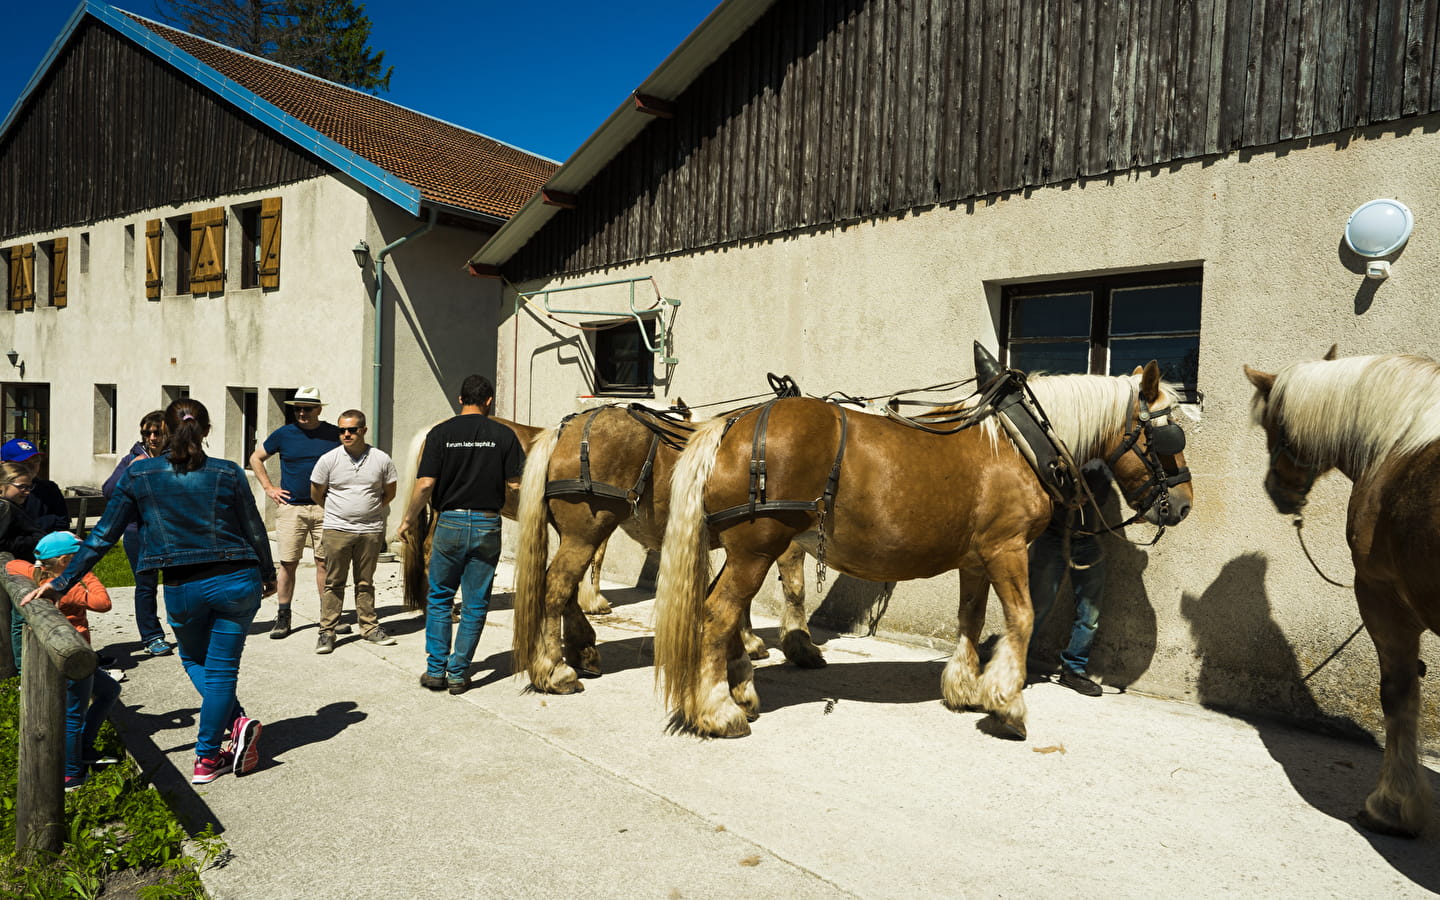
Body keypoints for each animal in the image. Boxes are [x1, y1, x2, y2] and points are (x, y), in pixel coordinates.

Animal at [509, 403, 823, 691]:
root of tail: (564, 430)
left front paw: (748, 642)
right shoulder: (778, 539)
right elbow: (792, 588)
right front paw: (797, 646)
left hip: (579, 536)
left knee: (566, 588)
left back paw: (582, 651)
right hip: (584, 534)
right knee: (556, 588)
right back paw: (555, 670)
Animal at [653, 358, 1192, 737]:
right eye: (1170, 436)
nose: (1183, 504)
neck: (1021, 442)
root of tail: (730, 427)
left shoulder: (977, 559)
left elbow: (972, 616)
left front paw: (965, 687)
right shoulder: (1006, 548)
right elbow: (1022, 618)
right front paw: (1007, 703)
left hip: (747, 551)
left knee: (722, 610)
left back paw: (739, 692)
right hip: (756, 549)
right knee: (717, 615)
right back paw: (719, 710)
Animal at [1238, 345, 1440, 835]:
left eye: (1274, 427)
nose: (1275, 490)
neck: (1398, 444)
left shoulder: (1381, 597)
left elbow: (1398, 696)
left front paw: (1391, 807)